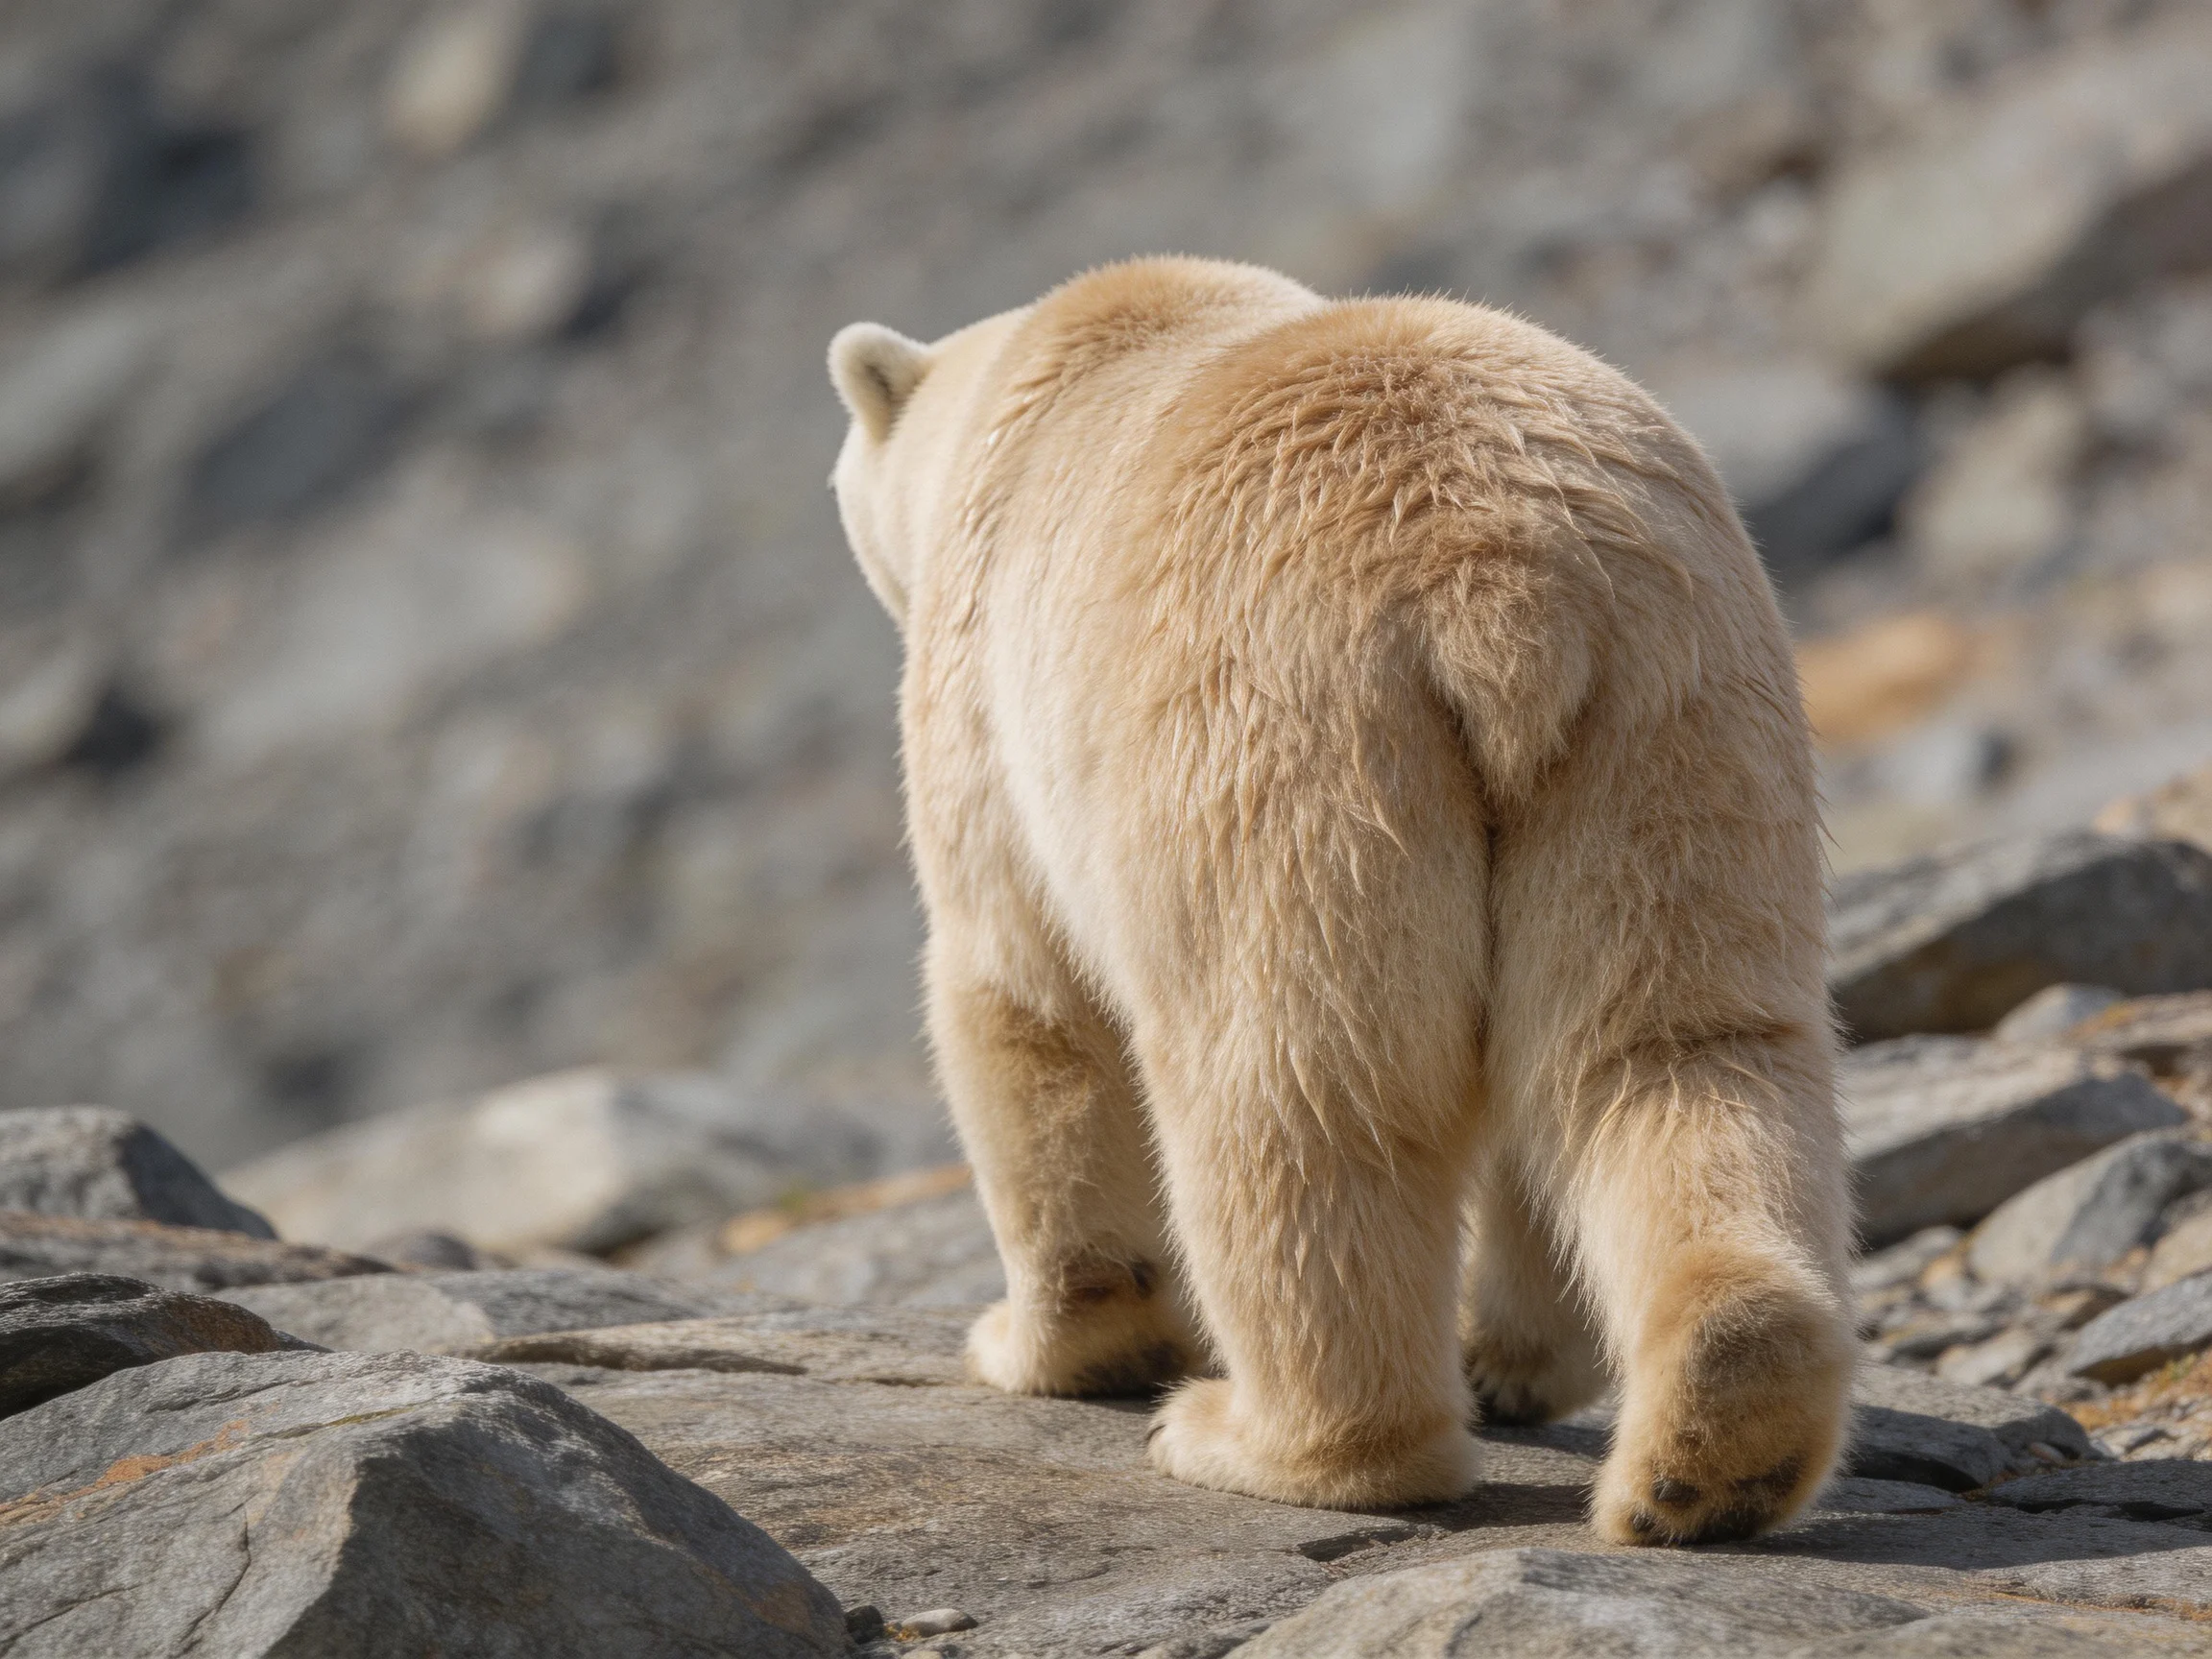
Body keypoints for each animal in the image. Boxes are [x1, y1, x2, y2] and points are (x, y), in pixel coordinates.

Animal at [826, 256, 1854, 1545]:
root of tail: (1505, 586)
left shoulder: (992, 707)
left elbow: (1022, 1001)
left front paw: (1041, 1348)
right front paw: (1510, 1363)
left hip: (1290, 746)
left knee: (1292, 1098)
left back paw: (1259, 1437)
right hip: (1671, 720)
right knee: (1672, 1047)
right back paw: (1717, 1434)